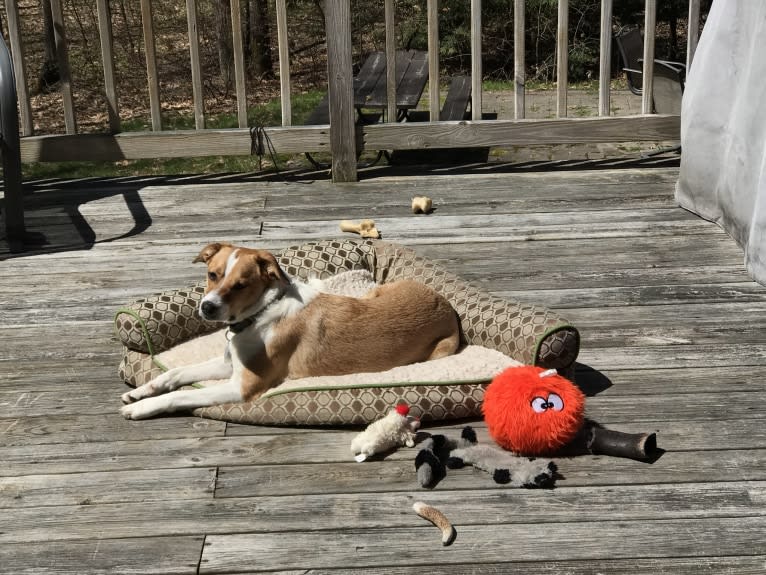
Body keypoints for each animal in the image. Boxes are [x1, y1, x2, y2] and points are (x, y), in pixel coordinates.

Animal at [118, 241, 462, 420]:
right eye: (212, 274)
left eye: (241, 285)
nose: (207, 307)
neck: (259, 314)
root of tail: (446, 305)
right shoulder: (230, 363)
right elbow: (175, 373)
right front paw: (141, 391)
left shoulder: (243, 386)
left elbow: (181, 395)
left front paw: (142, 407)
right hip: (374, 293)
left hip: (438, 349)